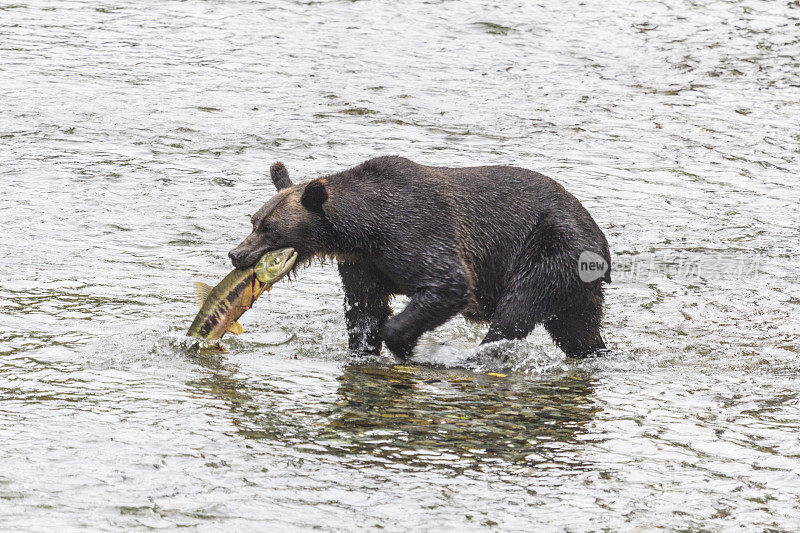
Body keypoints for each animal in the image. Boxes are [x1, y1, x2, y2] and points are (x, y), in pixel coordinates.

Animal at [228, 156, 608, 360]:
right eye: (254, 221)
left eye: (271, 230)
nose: (237, 254)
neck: (363, 228)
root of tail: (598, 233)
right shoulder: (363, 262)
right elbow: (364, 308)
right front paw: (364, 349)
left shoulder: (414, 231)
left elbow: (450, 283)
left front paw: (404, 344)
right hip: (576, 284)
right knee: (579, 330)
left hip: (552, 246)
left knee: (518, 307)